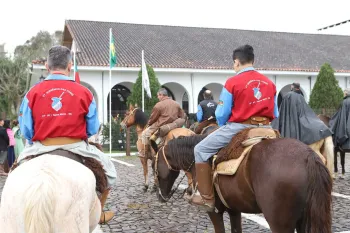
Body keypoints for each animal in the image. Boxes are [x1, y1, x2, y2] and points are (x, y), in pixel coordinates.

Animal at [155, 134, 330, 232]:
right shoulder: (234, 210)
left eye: (154, 164)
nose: (159, 195)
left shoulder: (214, 211)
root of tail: (308, 156)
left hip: (280, 224)